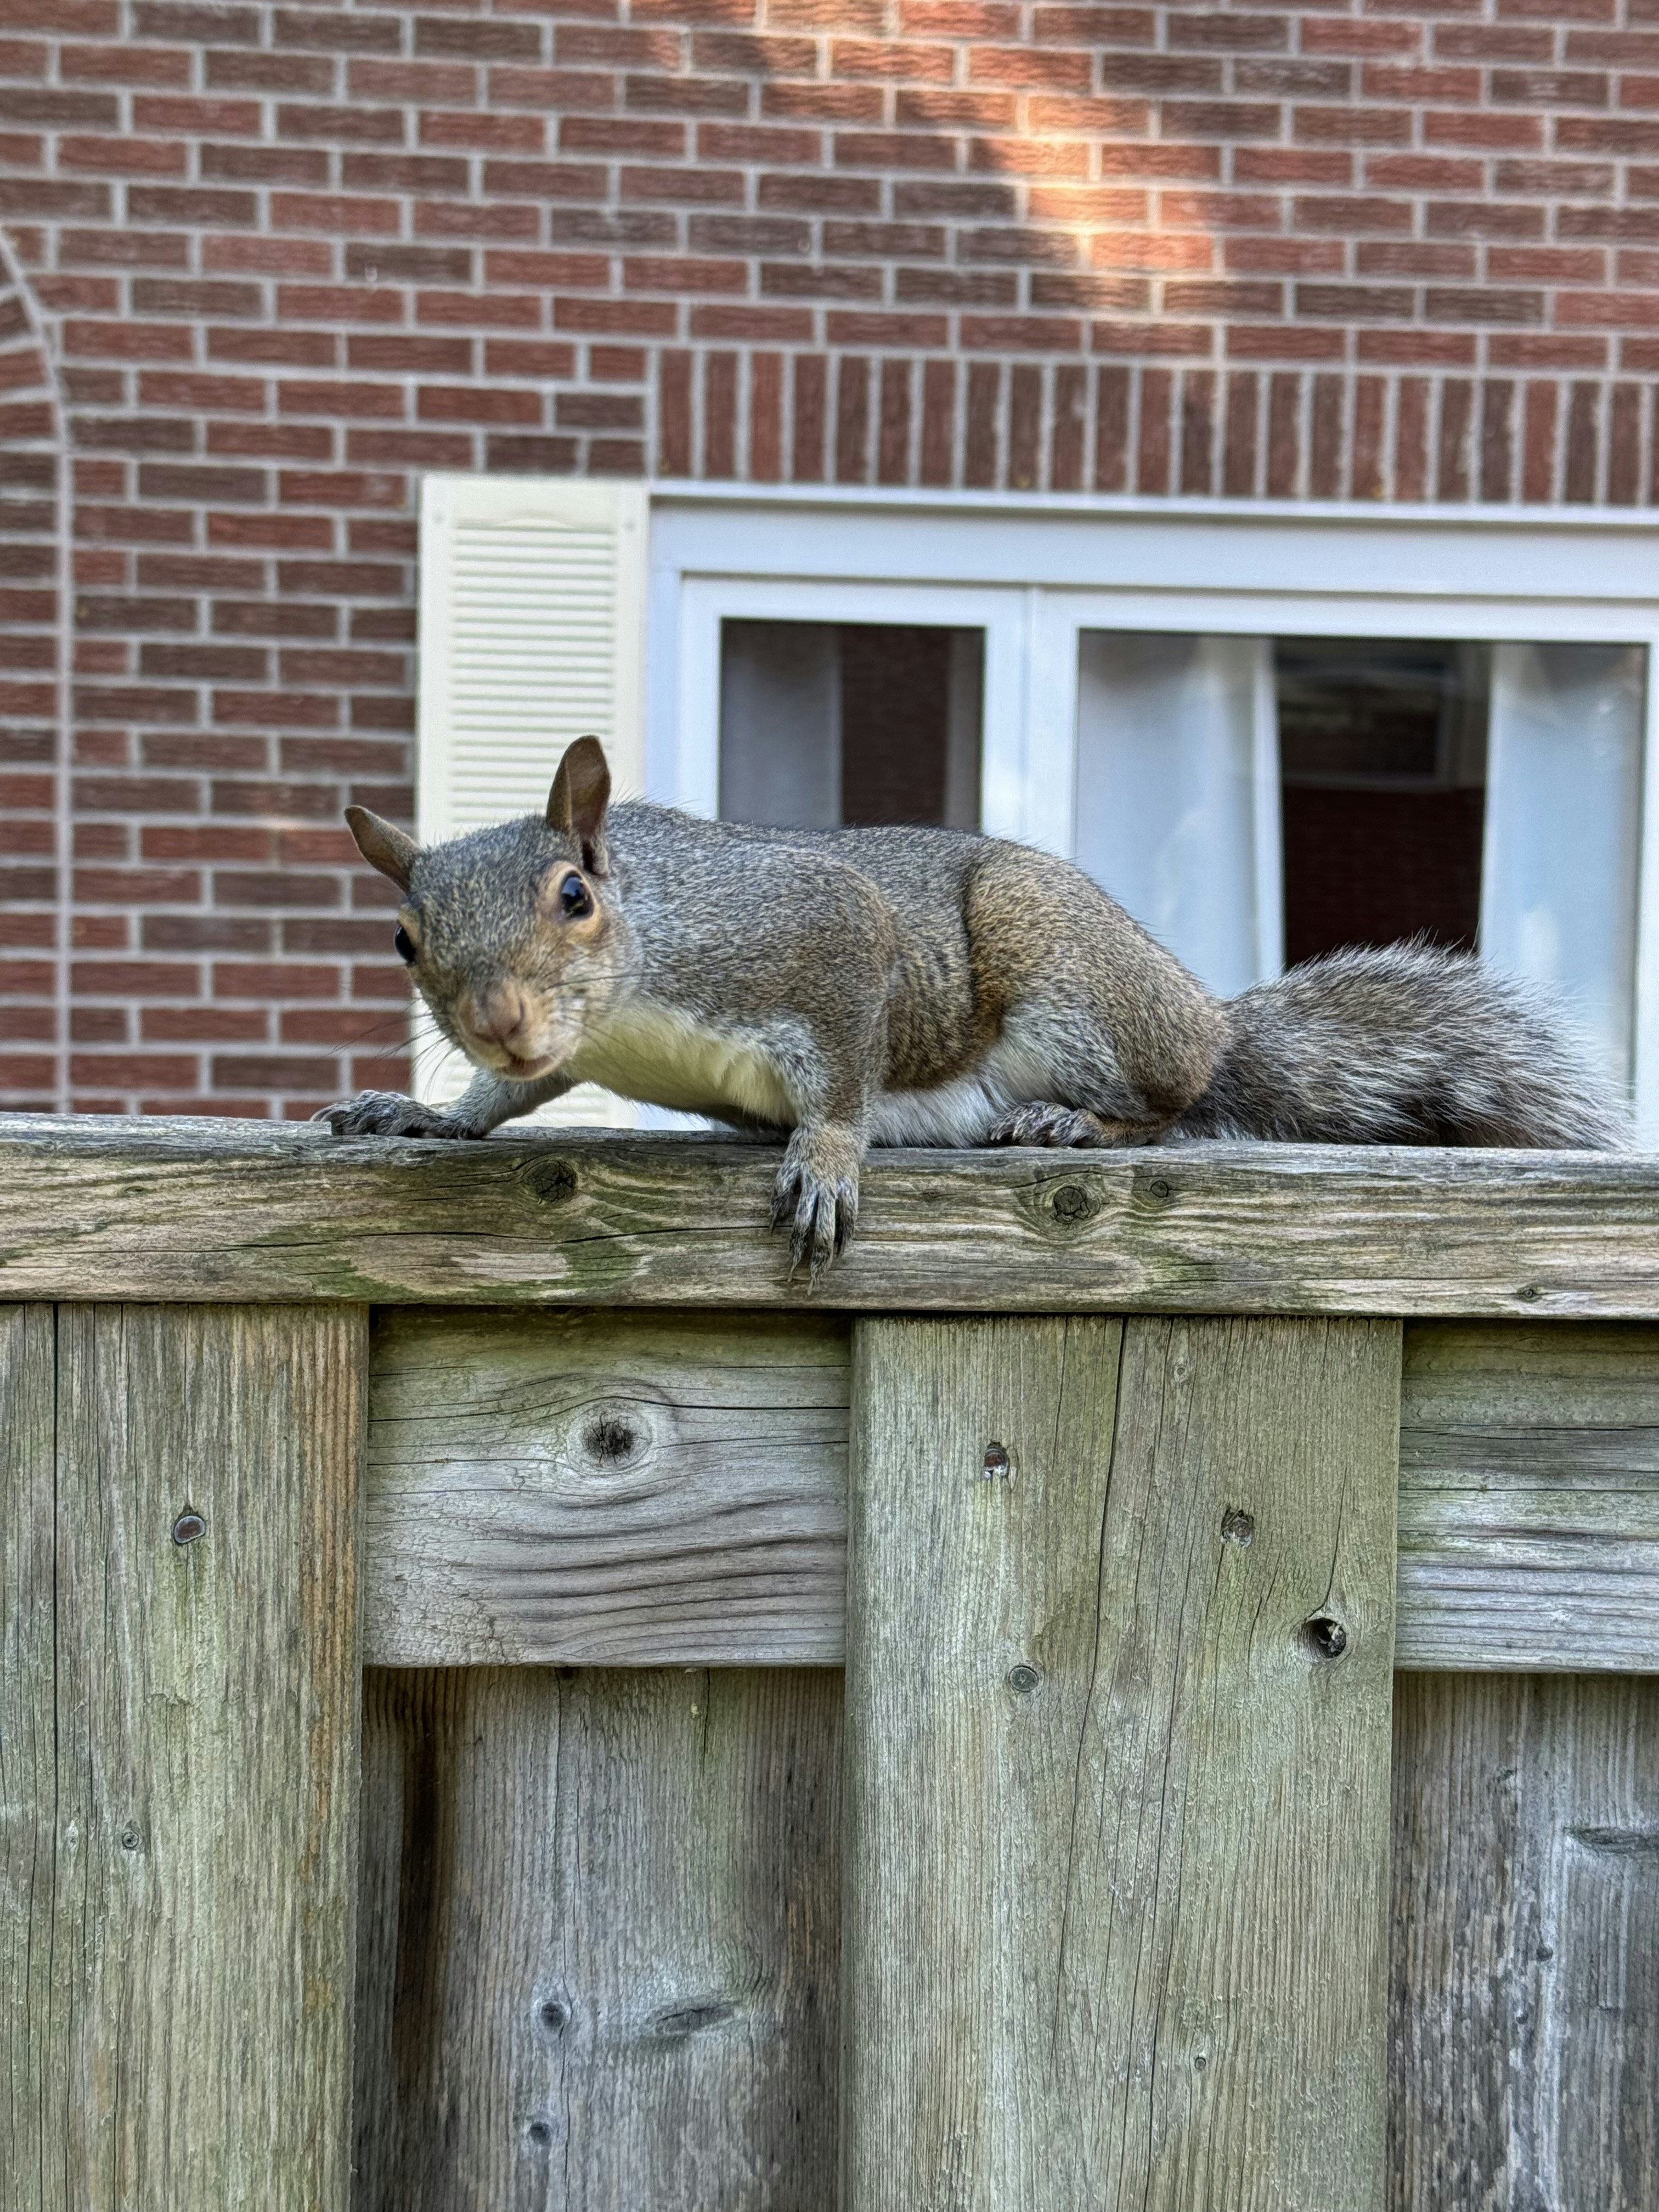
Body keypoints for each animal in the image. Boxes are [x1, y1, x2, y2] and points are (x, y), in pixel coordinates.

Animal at [319, 734, 1624, 1273]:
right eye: (403, 939)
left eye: (575, 894)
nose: (501, 1020)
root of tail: (1208, 1019)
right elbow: (504, 1103)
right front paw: (425, 1113)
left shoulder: (822, 934)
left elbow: (846, 1071)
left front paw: (827, 1160)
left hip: (1063, 965)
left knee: (1174, 1105)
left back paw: (1074, 1122)